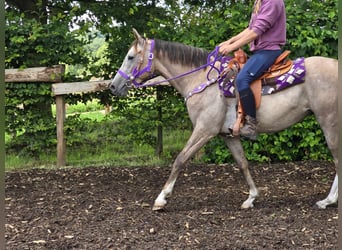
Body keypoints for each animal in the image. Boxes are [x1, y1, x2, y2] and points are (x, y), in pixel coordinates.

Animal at [108, 28, 338, 211]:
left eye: (130, 57)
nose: (113, 86)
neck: (201, 80)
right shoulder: (228, 135)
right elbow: (242, 163)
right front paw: (251, 198)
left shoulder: (204, 130)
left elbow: (180, 159)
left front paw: (161, 199)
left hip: (329, 122)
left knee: (337, 157)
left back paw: (328, 200)